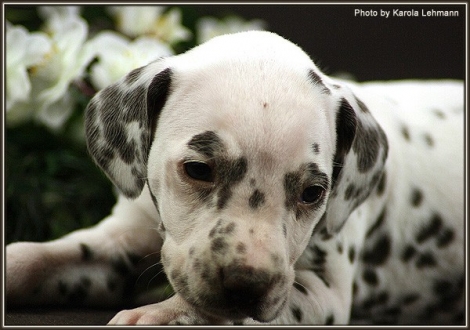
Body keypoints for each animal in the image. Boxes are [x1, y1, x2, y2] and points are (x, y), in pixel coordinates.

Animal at [5, 31, 464, 324]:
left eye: (313, 192)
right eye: (198, 169)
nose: (247, 284)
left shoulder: (321, 292)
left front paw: (164, 314)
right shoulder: (120, 239)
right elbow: (35, 257)